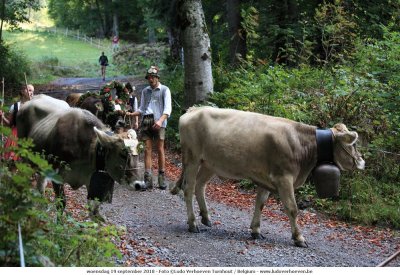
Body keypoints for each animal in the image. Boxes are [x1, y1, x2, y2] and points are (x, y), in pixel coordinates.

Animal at [170, 106, 364, 249]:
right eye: (353, 144)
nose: (362, 161)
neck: (301, 144)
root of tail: (194, 109)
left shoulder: (265, 177)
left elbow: (260, 203)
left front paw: (256, 230)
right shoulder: (283, 178)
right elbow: (292, 209)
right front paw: (299, 238)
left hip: (210, 163)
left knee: (200, 186)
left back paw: (206, 218)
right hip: (192, 158)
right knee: (188, 188)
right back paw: (193, 223)